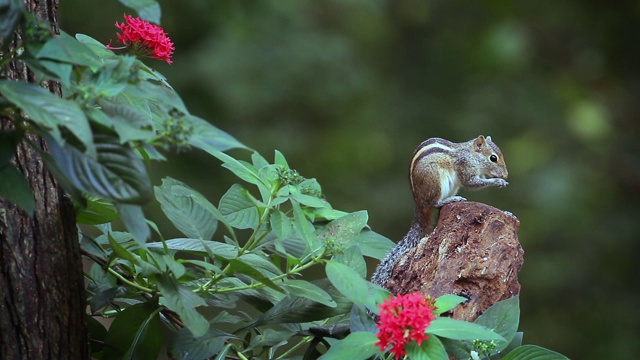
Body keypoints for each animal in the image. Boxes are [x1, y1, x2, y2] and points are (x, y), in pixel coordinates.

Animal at [370, 135, 510, 290]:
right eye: (493, 158)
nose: (506, 175)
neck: (470, 153)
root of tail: (418, 202)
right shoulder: (465, 168)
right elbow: (471, 183)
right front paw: (498, 181)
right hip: (436, 181)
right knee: (435, 203)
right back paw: (450, 199)